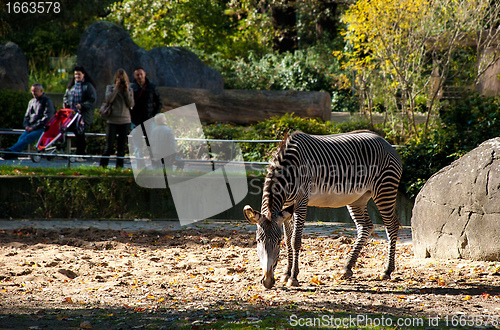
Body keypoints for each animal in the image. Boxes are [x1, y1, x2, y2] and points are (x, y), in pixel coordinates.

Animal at [244, 130, 404, 288]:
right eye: (258, 241)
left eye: (277, 241)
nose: (267, 281)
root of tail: (386, 142)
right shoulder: (285, 207)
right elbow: (288, 239)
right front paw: (286, 273)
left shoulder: (301, 201)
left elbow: (295, 240)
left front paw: (293, 277)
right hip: (358, 198)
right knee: (366, 226)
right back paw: (347, 268)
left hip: (384, 189)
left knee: (392, 225)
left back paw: (387, 271)